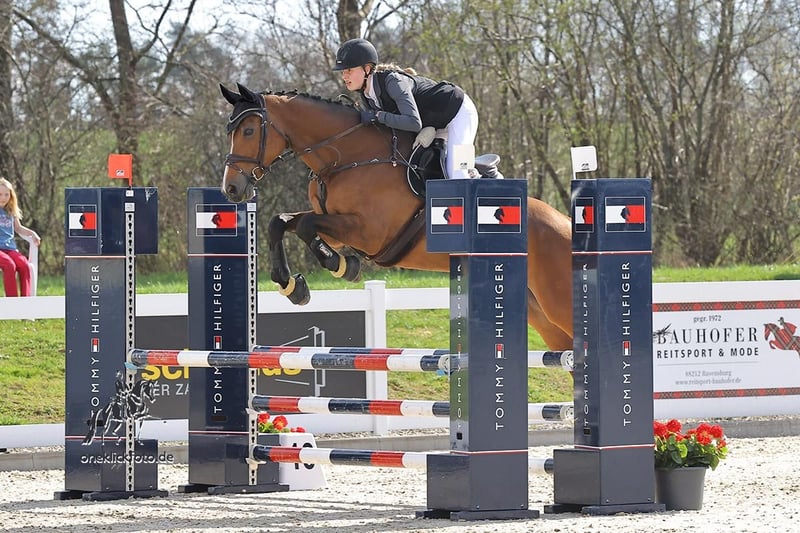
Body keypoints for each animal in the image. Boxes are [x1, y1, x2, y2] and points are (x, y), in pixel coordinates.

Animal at [219, 83, 574, 350]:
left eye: (248, 130)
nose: (232, 188)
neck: (346, 157)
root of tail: (567, 225)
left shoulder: (369, 233)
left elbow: (306, 226)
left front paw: (340, 266)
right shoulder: (336, 227)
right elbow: (280, 222)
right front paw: (293, 286)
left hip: (557, 301)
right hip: (538, 311)